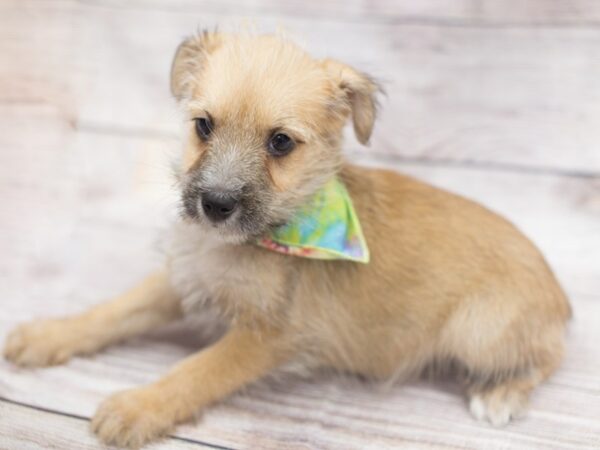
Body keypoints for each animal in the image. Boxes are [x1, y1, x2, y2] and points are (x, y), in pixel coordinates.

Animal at [3, 30, 572, 446]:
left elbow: (197, 370)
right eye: (203, 126)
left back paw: (500, 396)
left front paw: (138, 406)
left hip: (480, 329)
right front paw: (48, 334)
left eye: (280, 143)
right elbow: (115, 309)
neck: (261, 238)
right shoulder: (185, 275)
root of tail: (561, 298)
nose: (215, 205)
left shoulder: (269, 336)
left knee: (548, 357)